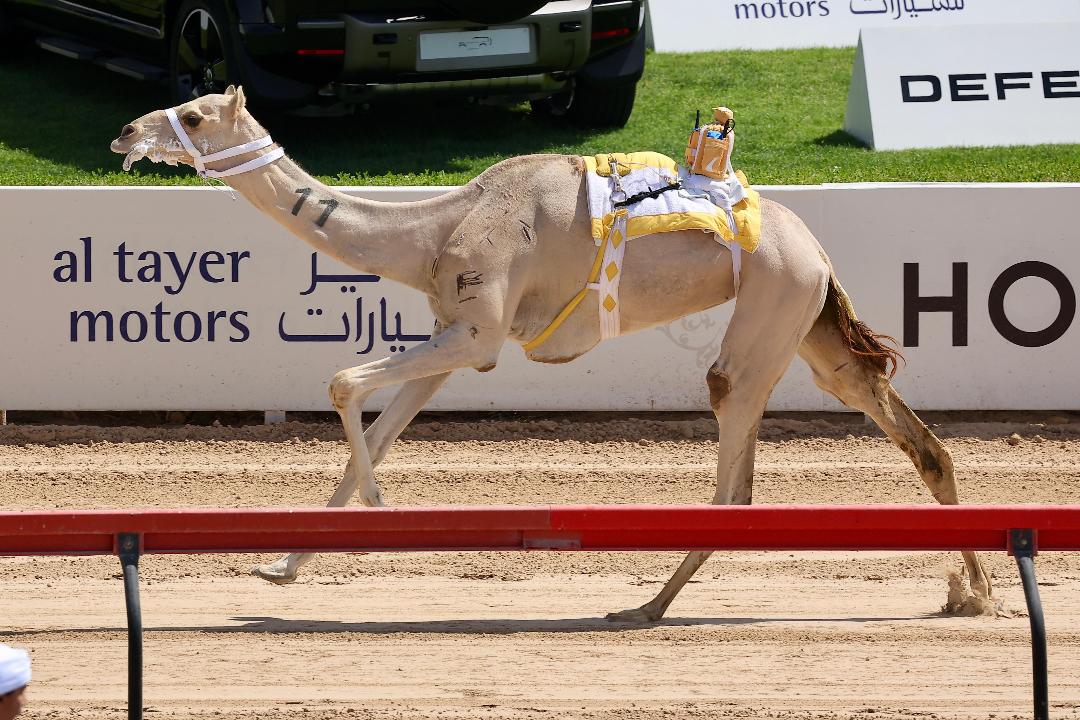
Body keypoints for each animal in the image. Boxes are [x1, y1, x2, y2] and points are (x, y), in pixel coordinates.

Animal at [110, 87, 998, 621]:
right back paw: (974, 593)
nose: (125, 129)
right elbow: (378, 417)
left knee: (735, 468)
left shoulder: (479, 336)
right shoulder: (451, 339)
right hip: (811, 327)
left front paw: (379, 513)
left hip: (771, 311)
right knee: (913, 434)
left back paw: (645, 607)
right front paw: (280, 567)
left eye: (195, 114)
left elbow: (340, 377)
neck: (433, 230)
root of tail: (815, 248)